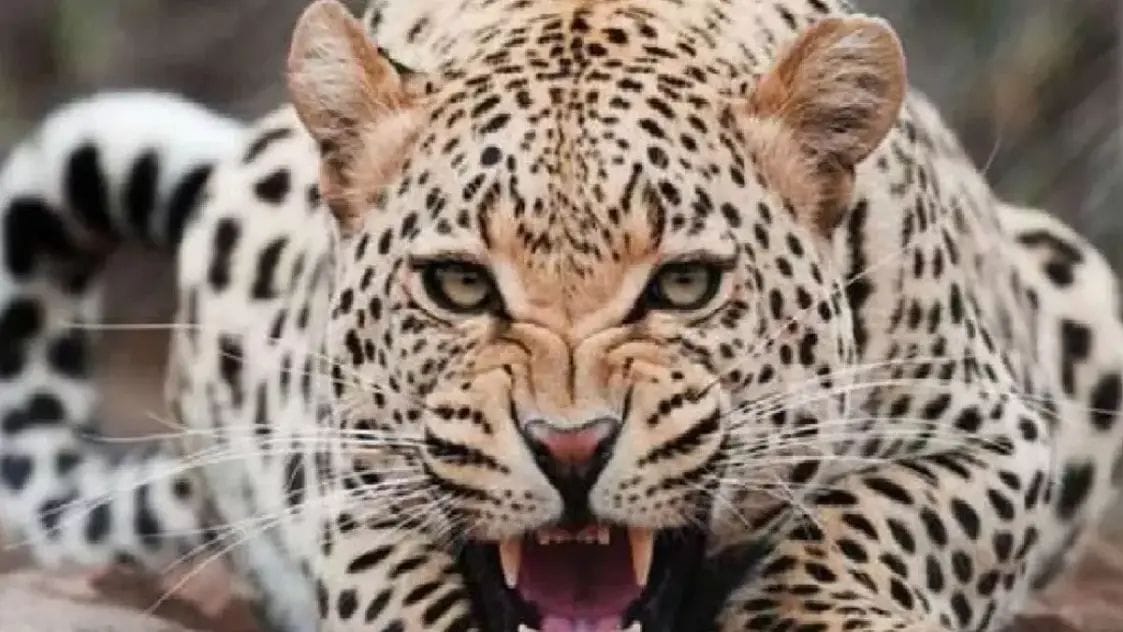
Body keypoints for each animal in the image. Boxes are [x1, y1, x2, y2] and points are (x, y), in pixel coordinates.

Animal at [1, 1, 1122, 631]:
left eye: (684, 286)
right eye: (459, 286)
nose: (571, 448)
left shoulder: (993, 432)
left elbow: (867, 524)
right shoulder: (347, 473)